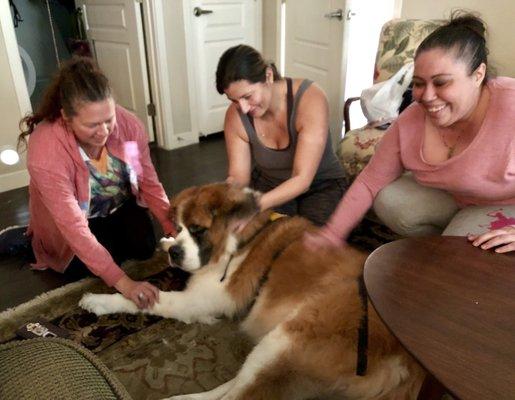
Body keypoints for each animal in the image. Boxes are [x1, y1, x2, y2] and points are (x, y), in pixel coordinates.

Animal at [80, 183, 426, 398]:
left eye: (198, 230)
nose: (176, 252)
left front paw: (100, 301)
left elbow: (148, 300)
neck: (241, 239)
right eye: (178, 227)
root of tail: (408, 361)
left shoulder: (196, 300)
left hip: (289, 336)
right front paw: (165, 244)